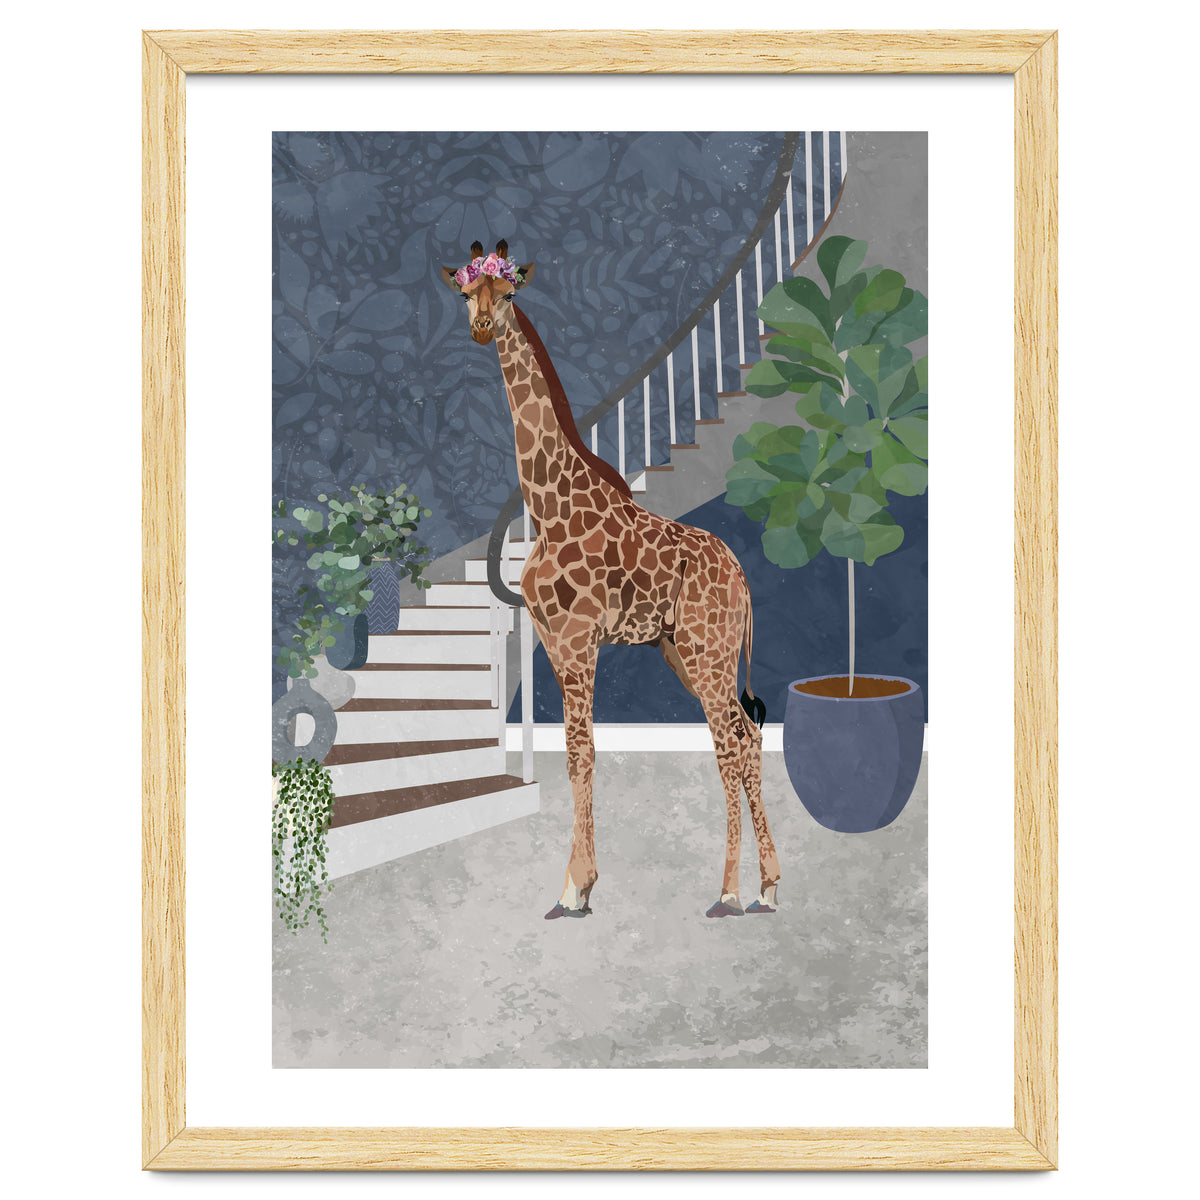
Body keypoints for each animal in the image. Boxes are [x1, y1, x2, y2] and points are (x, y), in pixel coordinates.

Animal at [441, 239, 781, 920]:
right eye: (466, 292)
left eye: (509, 292)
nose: (483, 327)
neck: (548, 505)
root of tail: (742, 576)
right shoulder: (552, 641)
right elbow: (577, 754)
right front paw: (580, 883)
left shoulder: (578, 641)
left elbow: (582, 750)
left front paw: (574, 887)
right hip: (688, 651)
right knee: (747, 736)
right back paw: (767, 886)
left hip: (707, 651)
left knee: (730, 744)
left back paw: (729, 891)